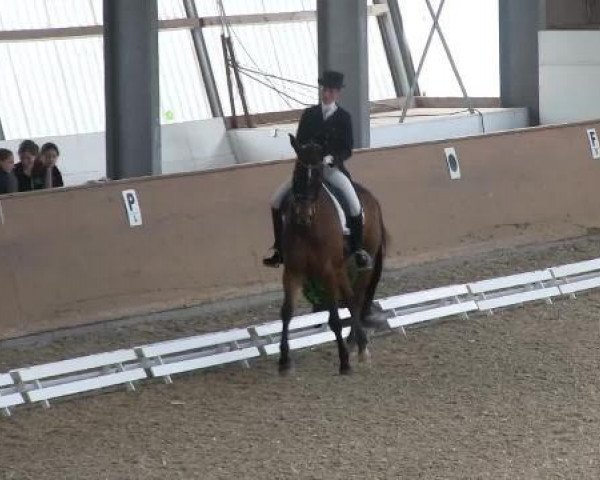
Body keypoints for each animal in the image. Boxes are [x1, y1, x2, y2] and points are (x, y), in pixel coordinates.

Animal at [278, 135, 386, 376]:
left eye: (318, 175)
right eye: (297, 172)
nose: (303, 215)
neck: (308, 229)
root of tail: (371, 198)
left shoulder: (326, 271)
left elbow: (335, 318)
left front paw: (344, 362)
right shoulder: (293, 271)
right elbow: (287, 312)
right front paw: (284, 362)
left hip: (360, 265)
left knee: (357, 299)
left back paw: (357, 346)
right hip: (341, 267)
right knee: (350, 298)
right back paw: (358, 344)